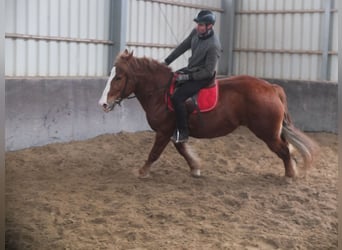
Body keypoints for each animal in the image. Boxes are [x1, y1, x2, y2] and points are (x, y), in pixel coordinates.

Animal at [99, 50, 318, 179]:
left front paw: (143, 171)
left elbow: (154, 153)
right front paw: (195, 167)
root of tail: (271, 88)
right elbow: (182, 149)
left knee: (284, 150)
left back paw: (290, 175)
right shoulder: (175, 132)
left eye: (118, 77)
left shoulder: (163, 131)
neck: (161, 93)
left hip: (268, 134)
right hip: (272, 132)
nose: (103, 103)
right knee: (286, 148)